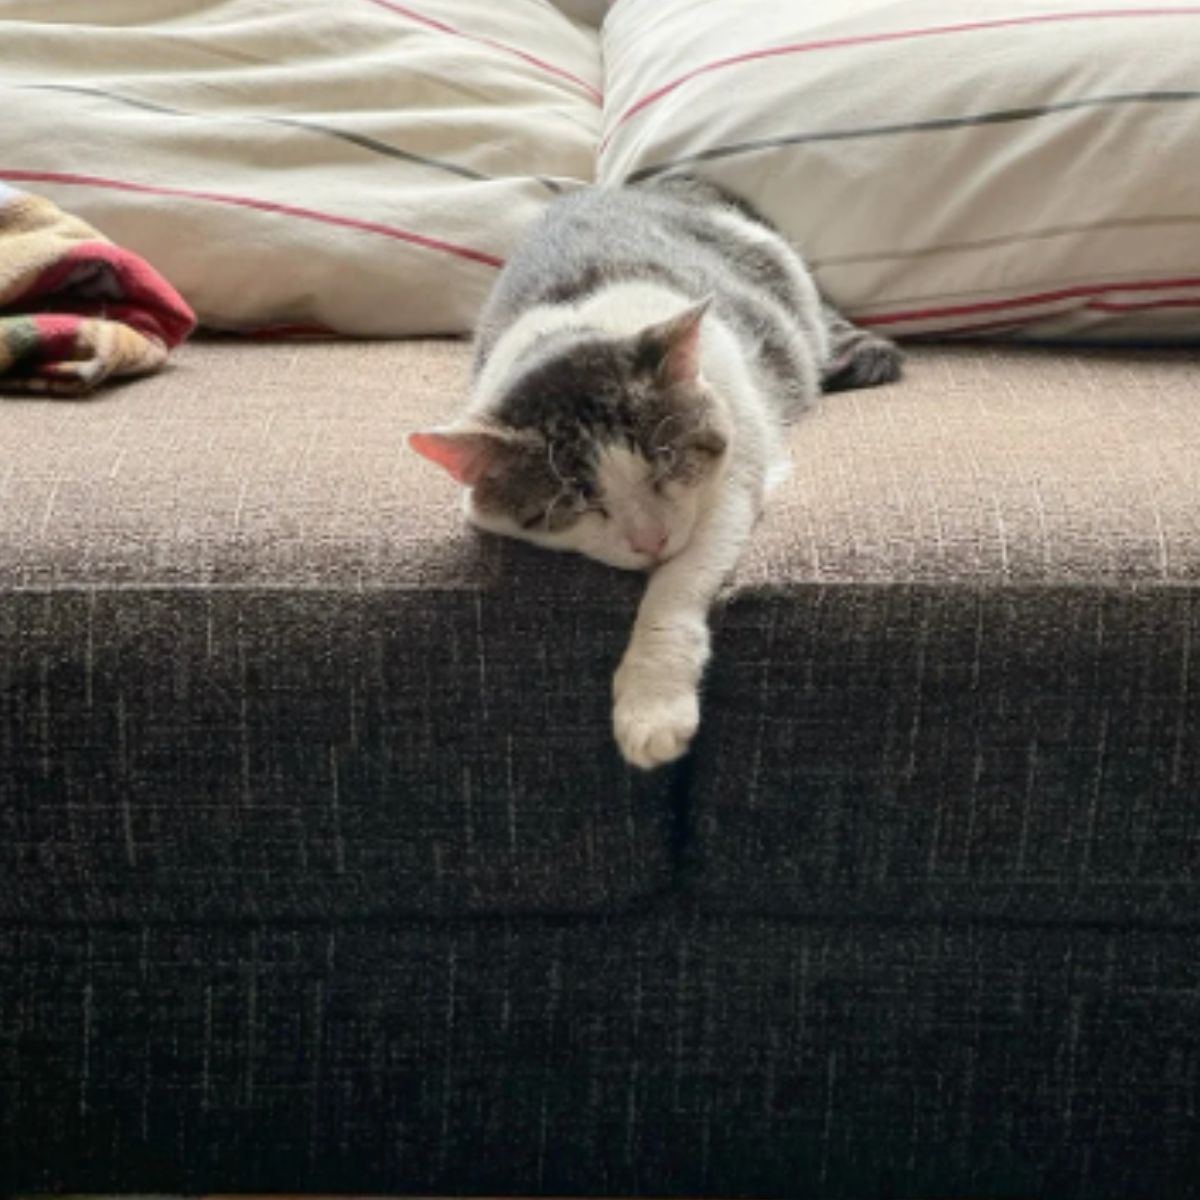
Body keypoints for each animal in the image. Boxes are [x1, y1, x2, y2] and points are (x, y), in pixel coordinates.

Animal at [408, 175, 897, 772]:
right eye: (575, 505)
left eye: (666, 462)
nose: (651, 541)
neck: (573, 322)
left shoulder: (734, 477)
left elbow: (678, 583)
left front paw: (652, 706)